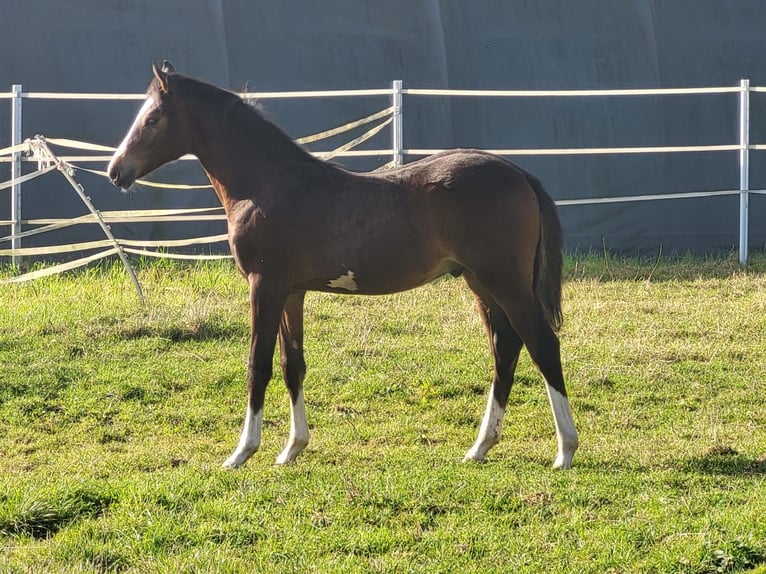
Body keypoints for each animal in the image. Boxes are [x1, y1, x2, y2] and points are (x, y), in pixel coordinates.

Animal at [105, 62, 580, 468]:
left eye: (153, 119)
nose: (115, 171)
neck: (268, 184)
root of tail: (519, 174)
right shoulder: (291, 292)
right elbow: (291, 364)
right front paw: (291, 449)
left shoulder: (265, 285)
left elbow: (258, 364)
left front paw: (242, 453)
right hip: (482, 284)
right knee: (506, 349)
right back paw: (480, 447)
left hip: (506, 283)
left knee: (542, 345)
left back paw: (565, 451)